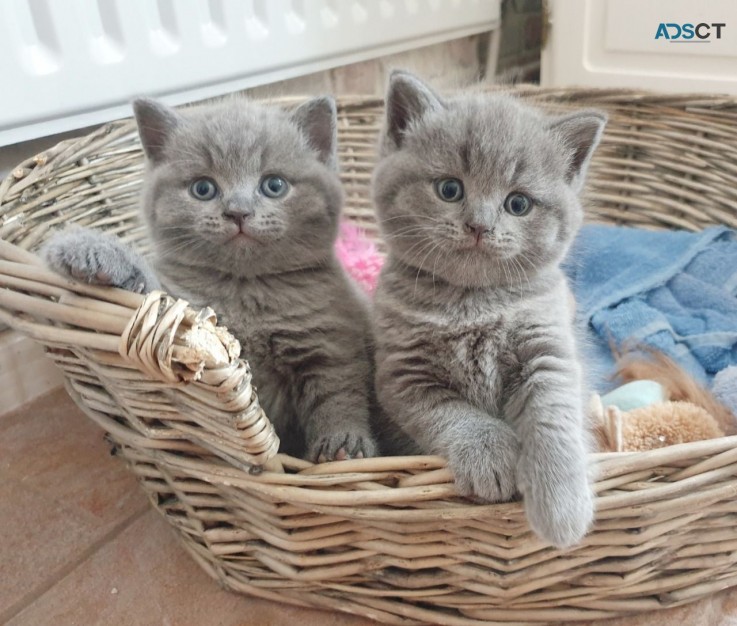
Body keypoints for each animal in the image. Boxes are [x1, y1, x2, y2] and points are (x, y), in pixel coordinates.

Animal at [42, 95, 376, 460]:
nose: (238, 211)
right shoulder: (183, 311)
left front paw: (342, 443)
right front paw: (90, 251)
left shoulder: (329, 343)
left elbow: (338, 394)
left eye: (274, 185)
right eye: (203, 188)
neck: (245, 288)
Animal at [370, 70, 608, 544]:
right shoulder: (403, 375)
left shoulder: (549, 349)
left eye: (518, 203)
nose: (479, 225)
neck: (472, 302)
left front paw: (561, 507)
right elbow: (455, 414)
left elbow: (553, 417)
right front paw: (491, 457)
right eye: (449, 189)